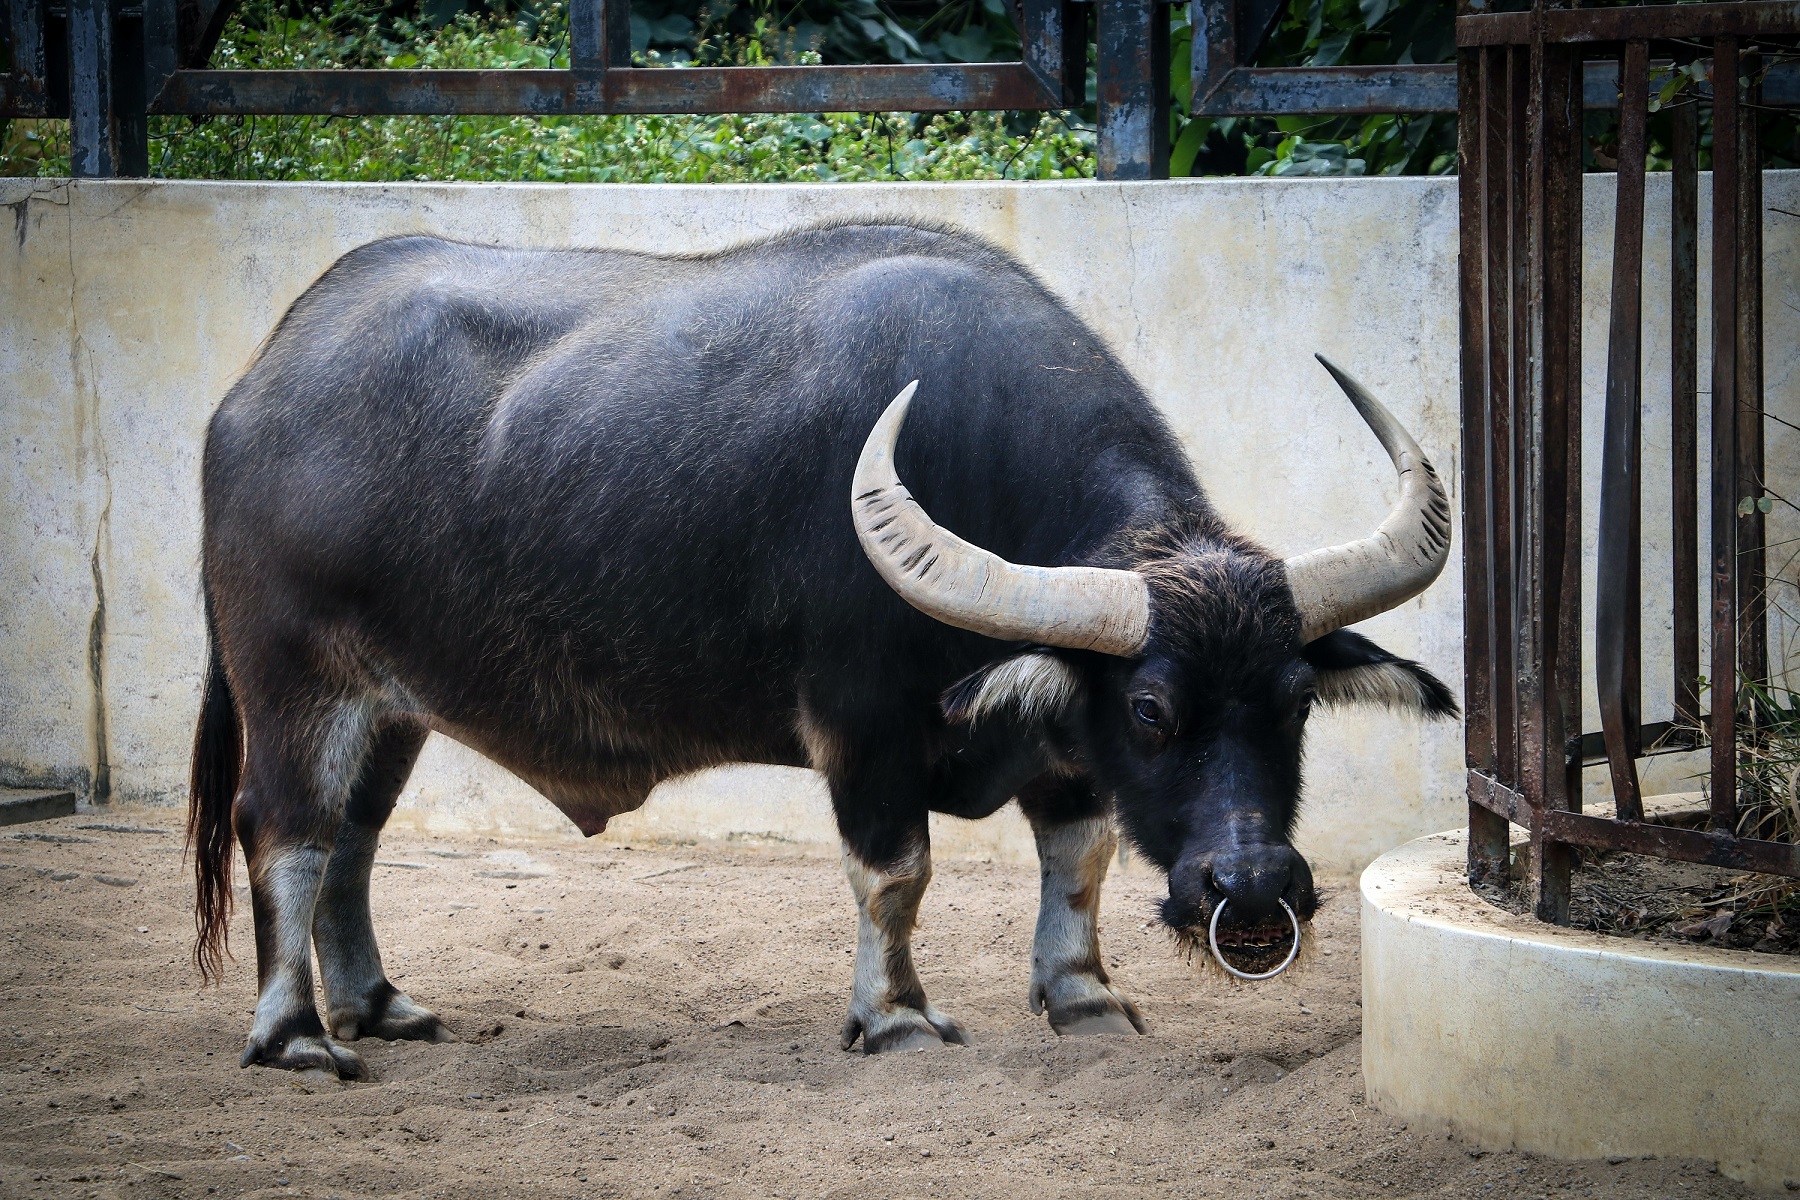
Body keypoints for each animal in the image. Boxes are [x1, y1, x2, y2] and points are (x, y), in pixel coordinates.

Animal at [187, 222, 1455, 1078]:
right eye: (1152, 710)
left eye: (1293, 701)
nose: (1255, 892)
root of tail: (256, 387)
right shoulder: (862, 723)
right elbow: (896, 873)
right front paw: (894, 1017)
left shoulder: (1057, 737)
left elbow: (1080, 858)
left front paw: (1083, 996)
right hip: (293, 681)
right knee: (286, 833)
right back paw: (296, 1036)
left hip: (392, 706)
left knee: (354, 840)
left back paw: (378, 1005)